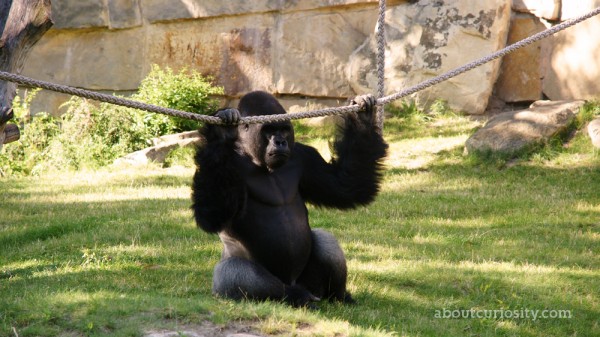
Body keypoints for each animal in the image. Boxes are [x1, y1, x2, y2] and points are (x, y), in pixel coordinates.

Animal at [192, 90, 390, 306]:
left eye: (284, 129)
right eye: (269, 130)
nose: (280, 142)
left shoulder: (304, 156)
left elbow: (346, 185)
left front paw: (362, 118)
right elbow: (212, 213)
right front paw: (220, 133)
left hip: (311, 285)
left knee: (324, 240)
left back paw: (339, 297)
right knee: (232, 271)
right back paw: (294, 295)